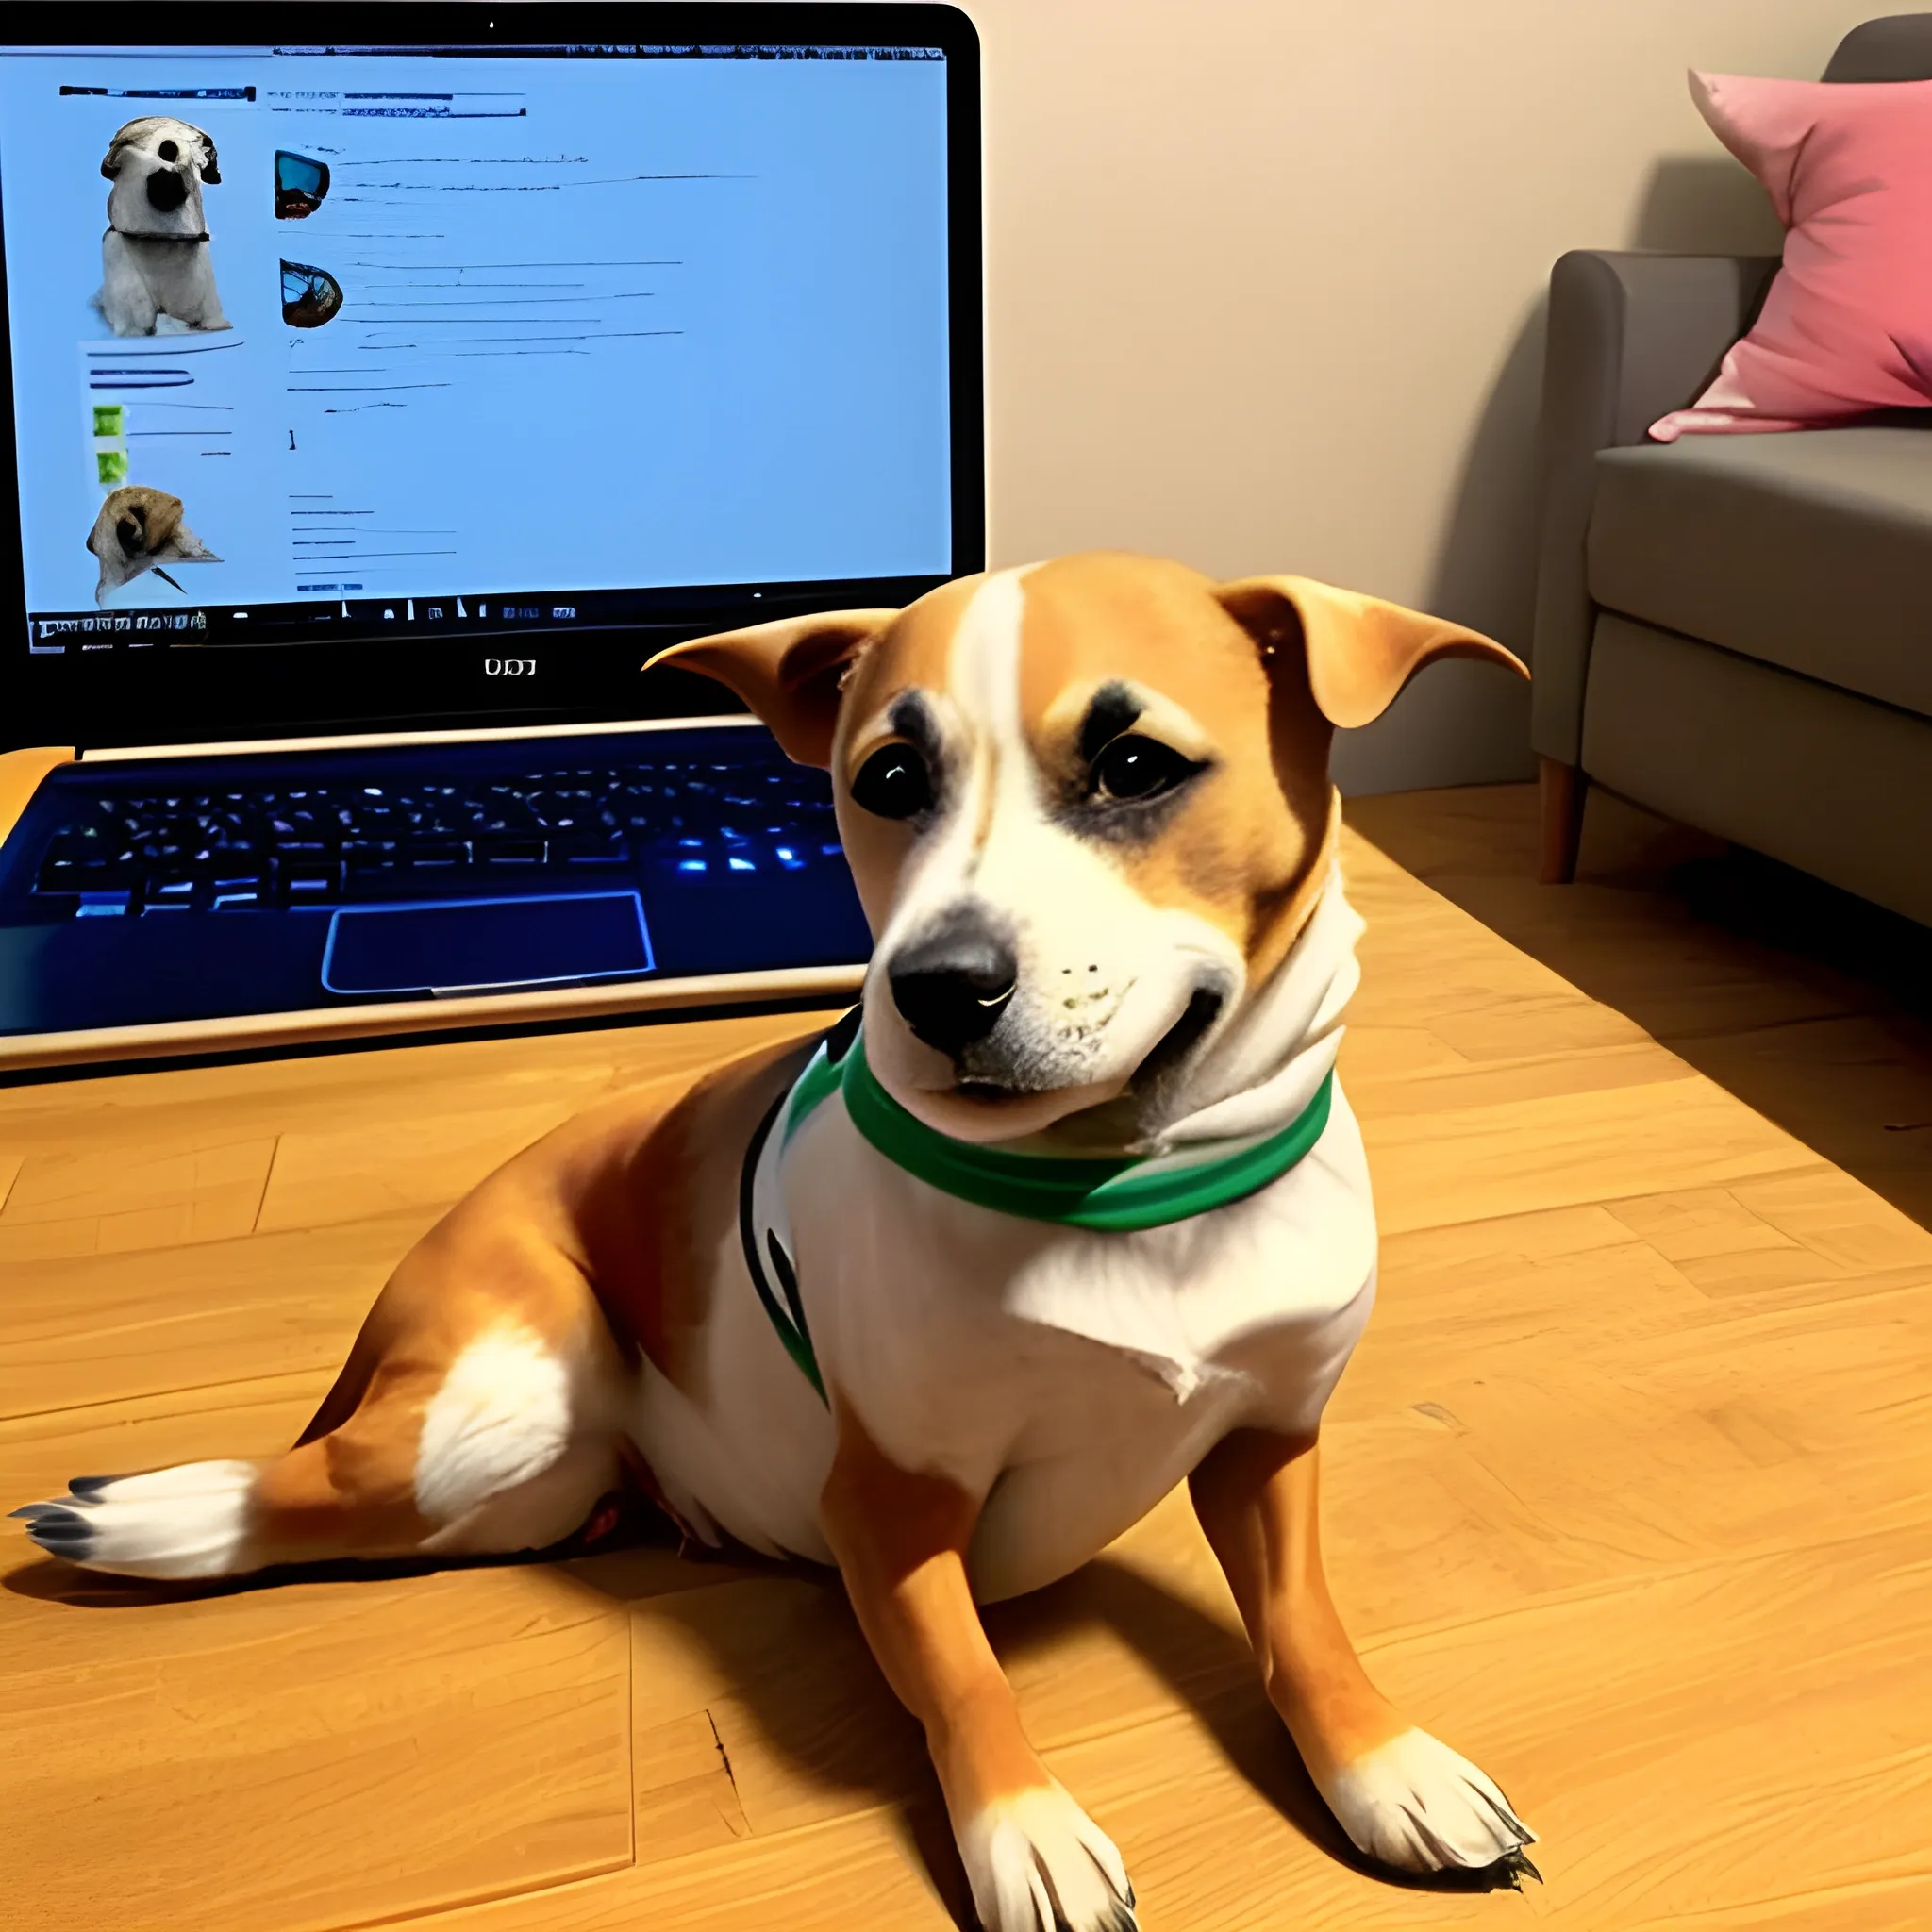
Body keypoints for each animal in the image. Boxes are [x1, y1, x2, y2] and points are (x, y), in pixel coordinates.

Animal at [8, 552, 1530, 1924]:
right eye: (888, 780)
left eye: (1137, 765)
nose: (939, 990)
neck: (1126, 1191)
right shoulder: (891, 1506)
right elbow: (964, 1673)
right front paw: (1025, 1830)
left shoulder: (1269, 1442)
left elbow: (1302, 1618)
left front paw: (1385, 1762)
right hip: (499, 1406)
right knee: (304, 1486)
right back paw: (143, 1516)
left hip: (534, 1489)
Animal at [94, 112, 228, 334]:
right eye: (212, 155)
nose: (218, 173)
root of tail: (162, 305)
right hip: (124, 269)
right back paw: (133, 330)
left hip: (189, 284)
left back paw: (213, 323)